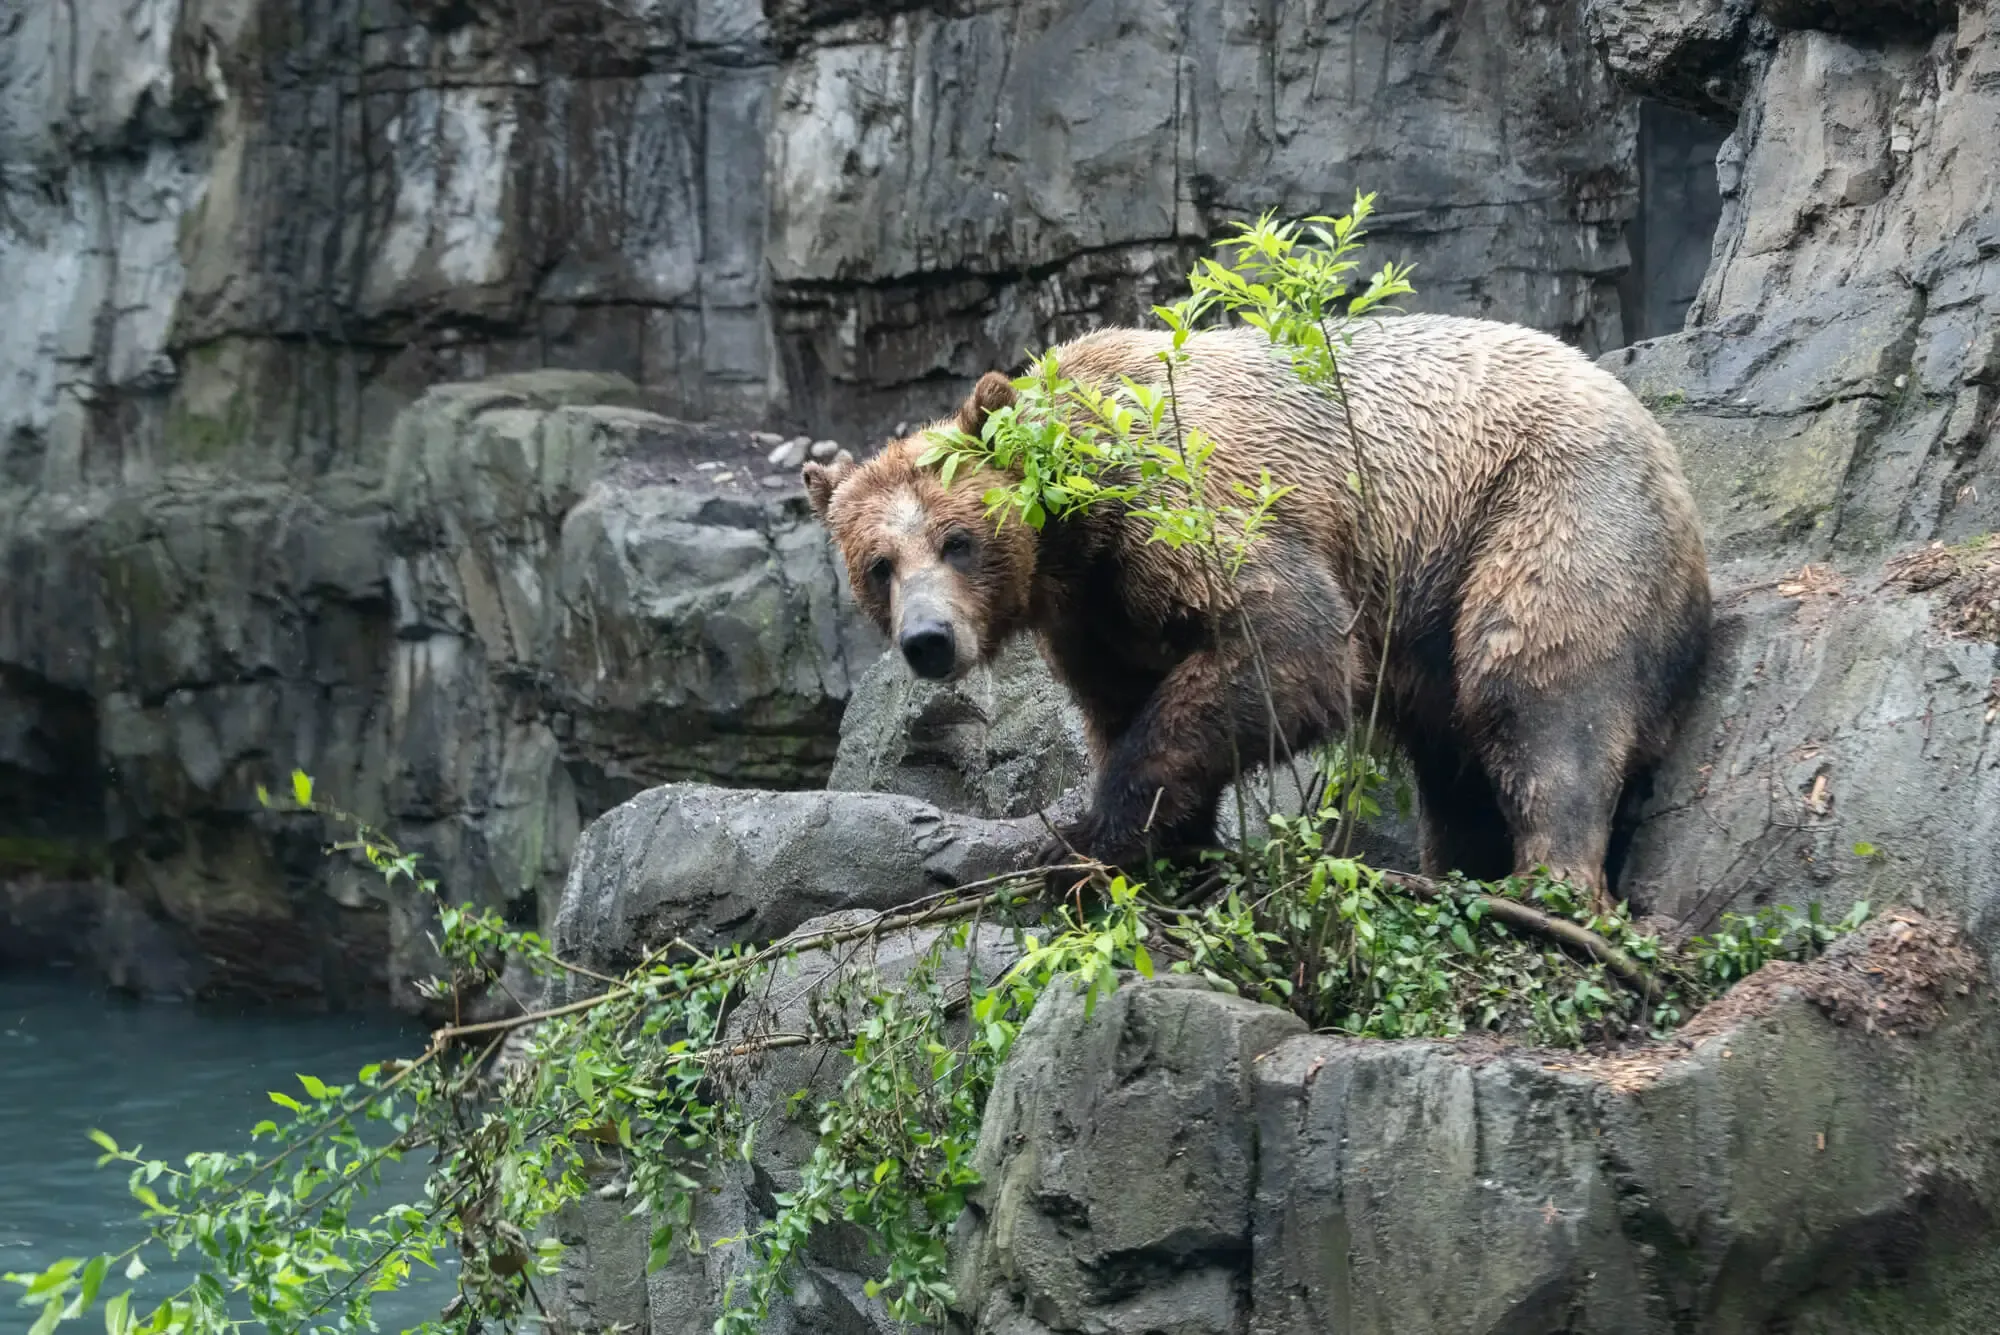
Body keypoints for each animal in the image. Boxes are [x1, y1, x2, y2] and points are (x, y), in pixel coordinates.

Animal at [803, 314, 1711, 910]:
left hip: (1545, 510)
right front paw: (1173, 847)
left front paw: (1087, 849)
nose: (927, 639)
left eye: (956, 540)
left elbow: (1289, 648)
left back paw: (1548, 884)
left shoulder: (1185, 505)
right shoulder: (1096, 614)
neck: (1077, 522)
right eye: (878, 564)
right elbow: (1126, 701)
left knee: (1540, 692)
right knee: (1454, 758)